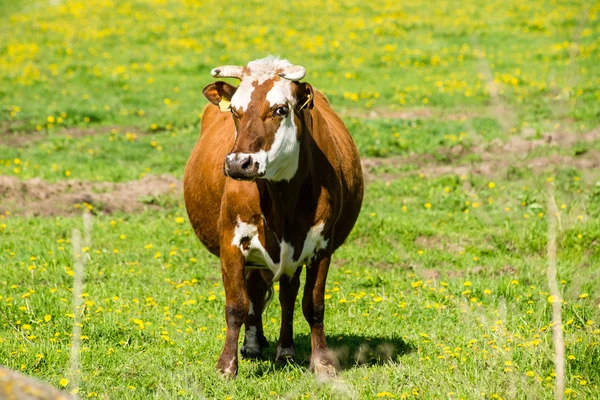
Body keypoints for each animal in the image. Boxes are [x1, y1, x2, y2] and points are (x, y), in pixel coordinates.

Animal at [184, 56, 360, 378]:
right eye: (235, 111)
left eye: (280, 109)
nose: (239, 163)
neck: (282, 200)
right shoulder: (231, 242)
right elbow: (236, 306)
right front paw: (226, 366)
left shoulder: (321, 247)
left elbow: (313, 305)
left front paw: (323, 363)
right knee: (255, 292)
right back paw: (253, 345)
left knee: (287, 296)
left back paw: (285, 350)